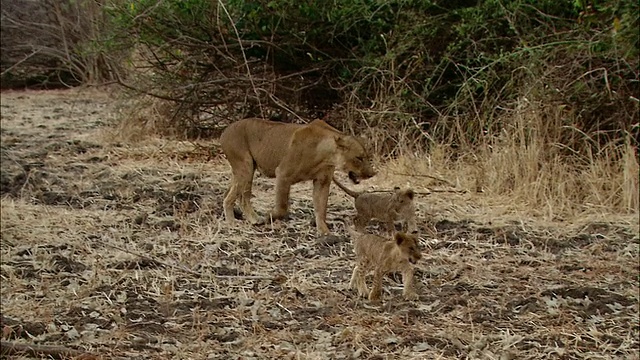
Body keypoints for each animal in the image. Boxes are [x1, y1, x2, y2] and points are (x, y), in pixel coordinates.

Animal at [219, 118, 376, 235]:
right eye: (359, 158)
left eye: (367, 157)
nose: (371, 173)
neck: (326, 156)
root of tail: (225, 130)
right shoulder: (283, 174)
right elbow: (282, 207)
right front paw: (269, 217)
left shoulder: (323, 181)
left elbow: (321, 207)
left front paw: (324, 231)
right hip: (245, 167)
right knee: (234, 197)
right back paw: (235, 222)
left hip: (246, 170)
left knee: (238, 195)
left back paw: (250, 219)